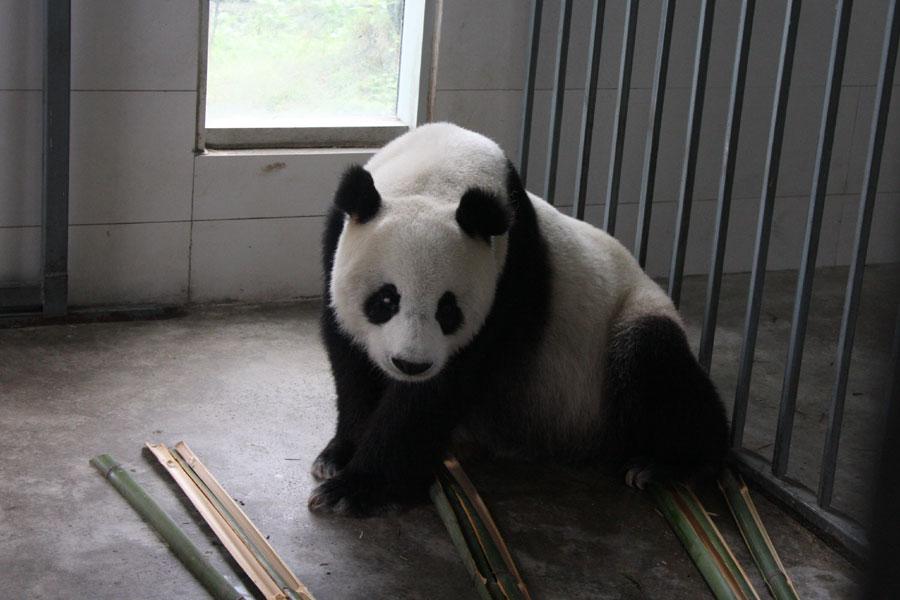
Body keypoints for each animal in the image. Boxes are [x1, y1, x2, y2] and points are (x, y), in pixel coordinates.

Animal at [310, 123, 732, 516]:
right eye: (386, 299)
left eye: (448, 310)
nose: (410, 364)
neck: (438, 174)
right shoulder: (336, 243)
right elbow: (350, 358)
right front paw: (339, 456)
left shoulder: (509, 276)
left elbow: (443, 388)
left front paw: (358, 487)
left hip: (628, 318)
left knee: (654, 364)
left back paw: (672, 464)